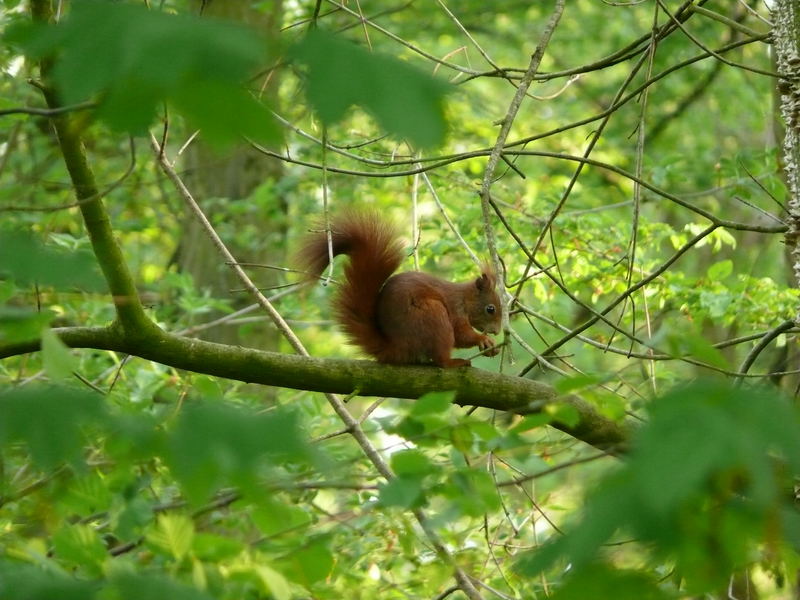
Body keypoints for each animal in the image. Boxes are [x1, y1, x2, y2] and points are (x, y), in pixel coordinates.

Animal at [296, 213, 504, 368]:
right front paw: (484, 340)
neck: (465, 298)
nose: (496, 331)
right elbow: (461, 335)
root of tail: (396, 347)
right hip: (433, 315)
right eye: (490, 309)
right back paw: (453, 363)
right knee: (440, 359)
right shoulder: (455, 309)